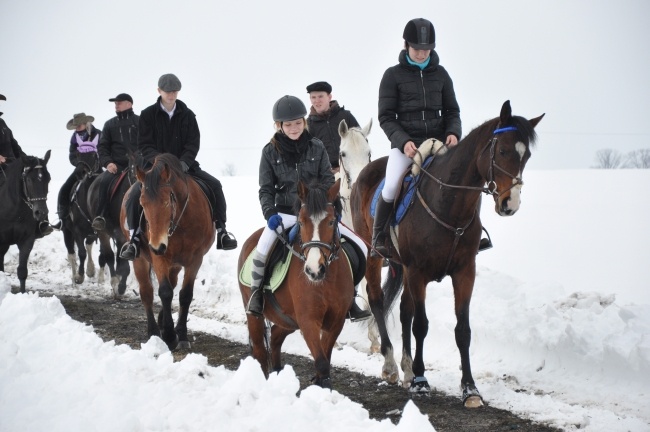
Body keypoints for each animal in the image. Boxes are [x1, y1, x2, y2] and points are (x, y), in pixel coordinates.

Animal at [124, 154, 218, 350]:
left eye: (167, 201)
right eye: (142, 203)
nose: (156, 245)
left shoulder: (195, 260)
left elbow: (185, 295)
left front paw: (181, 335)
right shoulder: (159, 258)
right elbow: (165, 292)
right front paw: (168, 335)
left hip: (175, 264)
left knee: (173, 283)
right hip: (140, 260)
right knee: (147, 292)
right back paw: (153, 331)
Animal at [237, 179, 352, 388]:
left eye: (332, 221)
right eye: (301, 222)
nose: (314, 269)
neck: (326, 282)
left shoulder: (336, 322)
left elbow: (325, 359)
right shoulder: (308, 321)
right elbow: (322, 363)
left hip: (288, 319)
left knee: (275, 338)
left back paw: (277, 373)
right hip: (254, 315)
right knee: (259, 351)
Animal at [350, 100, 540, 404]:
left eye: (527, 155)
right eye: (502, 151)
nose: (510, 204)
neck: (449, 203)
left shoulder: (464, 272)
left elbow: (462, 330)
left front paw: (470, 389)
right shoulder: (418, 272)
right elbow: (421, 325)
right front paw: (420, 380)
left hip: (402, 267)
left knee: (404, 311)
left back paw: (406, 368)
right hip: (373, 254)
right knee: (377, 300)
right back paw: (391, 366)